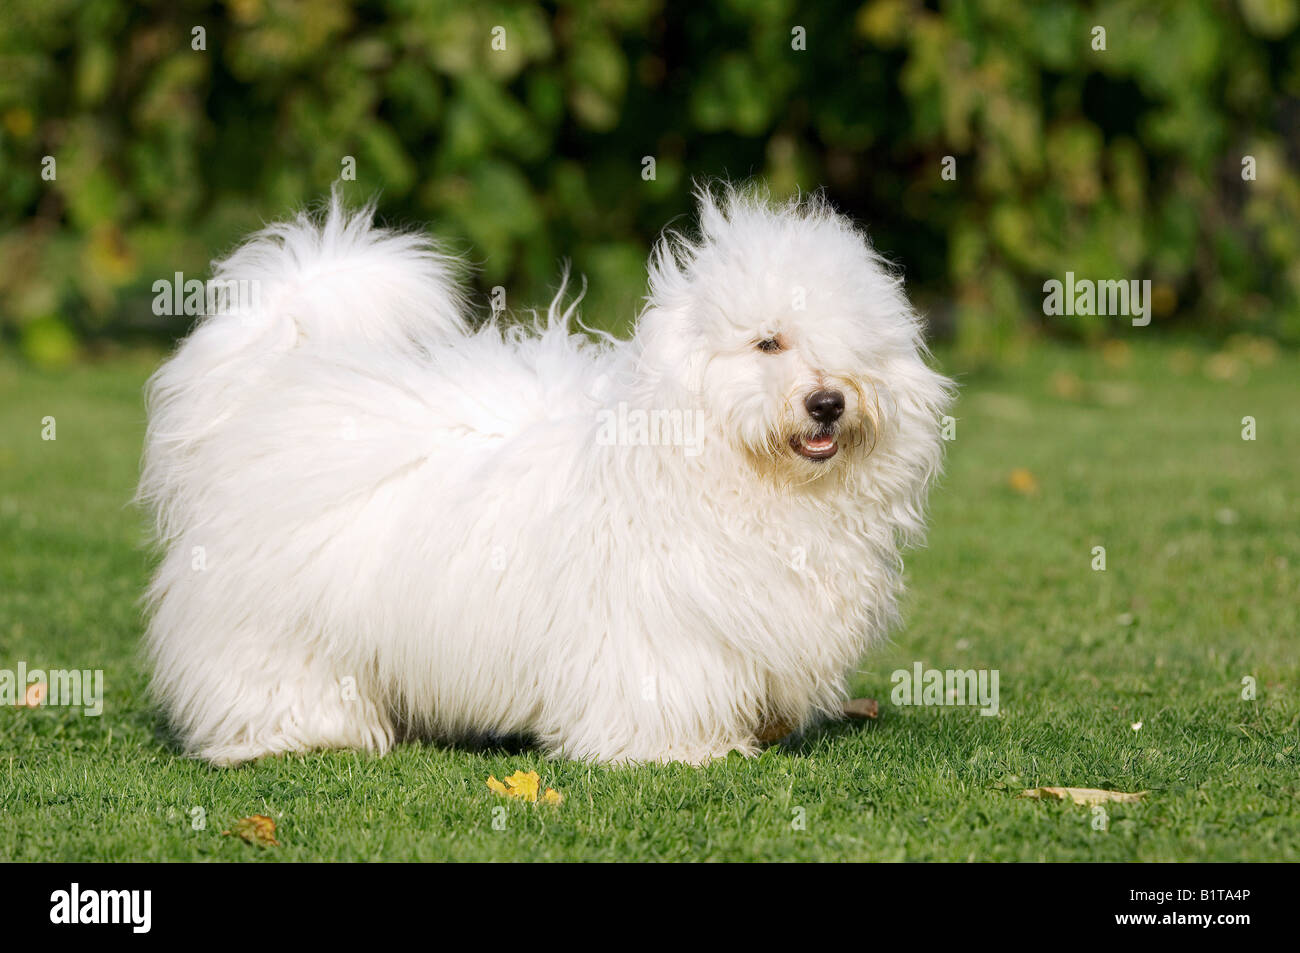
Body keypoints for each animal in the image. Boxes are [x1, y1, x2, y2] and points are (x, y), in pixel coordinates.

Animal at [139, 185, 956, 764]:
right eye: (767, 342)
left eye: (857, 349)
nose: (828, 403)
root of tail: (264, 384)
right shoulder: (658, 627)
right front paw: (682, 749)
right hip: (277, 621)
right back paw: (307, 731)